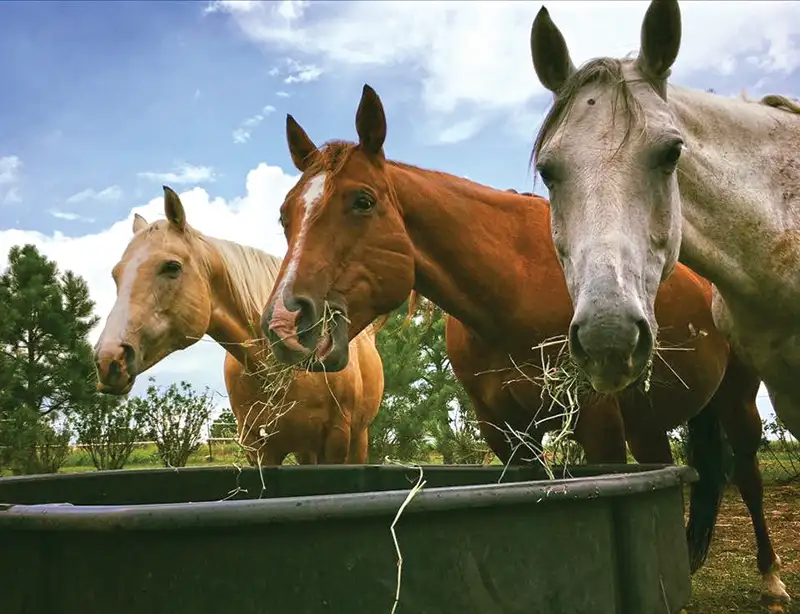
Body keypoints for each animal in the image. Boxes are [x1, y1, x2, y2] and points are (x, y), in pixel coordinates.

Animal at [92, 188, 386, 466]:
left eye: (171, 266)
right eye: (116, 275)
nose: (109, 359)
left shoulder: (336, 442)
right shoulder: (259, 449)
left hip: (356, 441)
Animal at [260, 84, 788, 608]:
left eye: (363, 201)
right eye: (285, 215)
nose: (285, 323)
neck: (514, 291)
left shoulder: (597, 420)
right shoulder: (506, 431)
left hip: (736, 401)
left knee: (748, 477)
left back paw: (772, 581)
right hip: (649, 419)